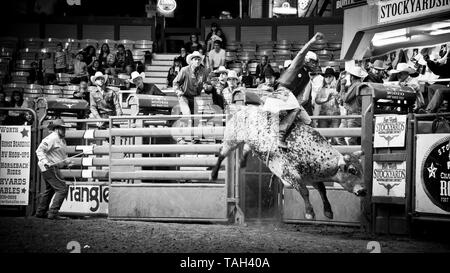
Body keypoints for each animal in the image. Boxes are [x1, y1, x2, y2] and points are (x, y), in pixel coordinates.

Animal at [210, 105, 366, 220]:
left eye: (361, 170)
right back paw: (213, 174)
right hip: (232, 137)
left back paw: (242, 162)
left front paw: (328, 211)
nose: (363, 190)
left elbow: (322, 190)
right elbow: (304, 191)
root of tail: (243, 110)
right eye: (352, 170)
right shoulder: (289, 174)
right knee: (222, 153)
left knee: (246, 148)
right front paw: (310, 213)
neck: (310, 149)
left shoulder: (312, 175)